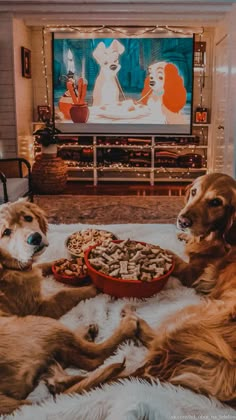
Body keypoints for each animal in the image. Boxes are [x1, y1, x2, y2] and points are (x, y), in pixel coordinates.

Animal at [0, 201, 139, 416]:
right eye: (6, 232)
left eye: (28, 218)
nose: (35, 238)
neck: (7, 266)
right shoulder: (39, 308)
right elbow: (64, 293)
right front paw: (93, 284)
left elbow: (43, 266)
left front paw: (61, 264)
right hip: (41, 324)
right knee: (95, 355)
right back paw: (124, 327)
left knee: (64, 373)